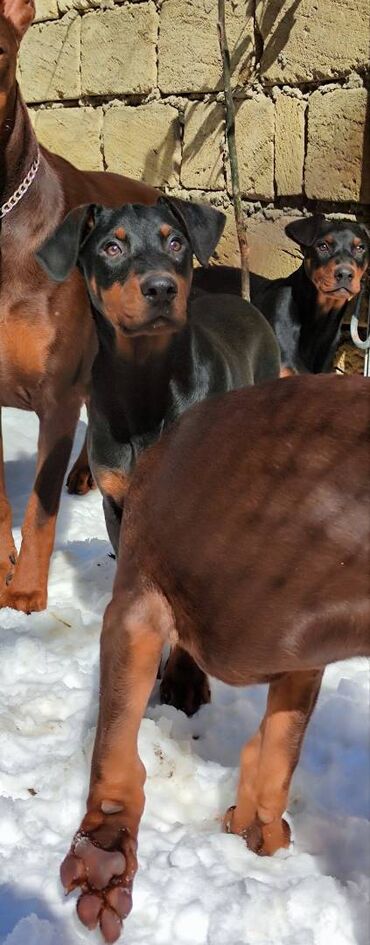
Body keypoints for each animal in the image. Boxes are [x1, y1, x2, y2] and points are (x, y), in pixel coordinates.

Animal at [38, 199, 280, 712]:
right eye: (111, 247)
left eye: (176, 242)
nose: (162, 288)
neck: (145, 386)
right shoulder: (119, 503)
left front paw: (185, 679)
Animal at [59, 372, 368, 940]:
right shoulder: (140, 601)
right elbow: (116, 742)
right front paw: (105, 855)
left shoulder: (300, 660)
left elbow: (277, 751)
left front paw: (256, 829)